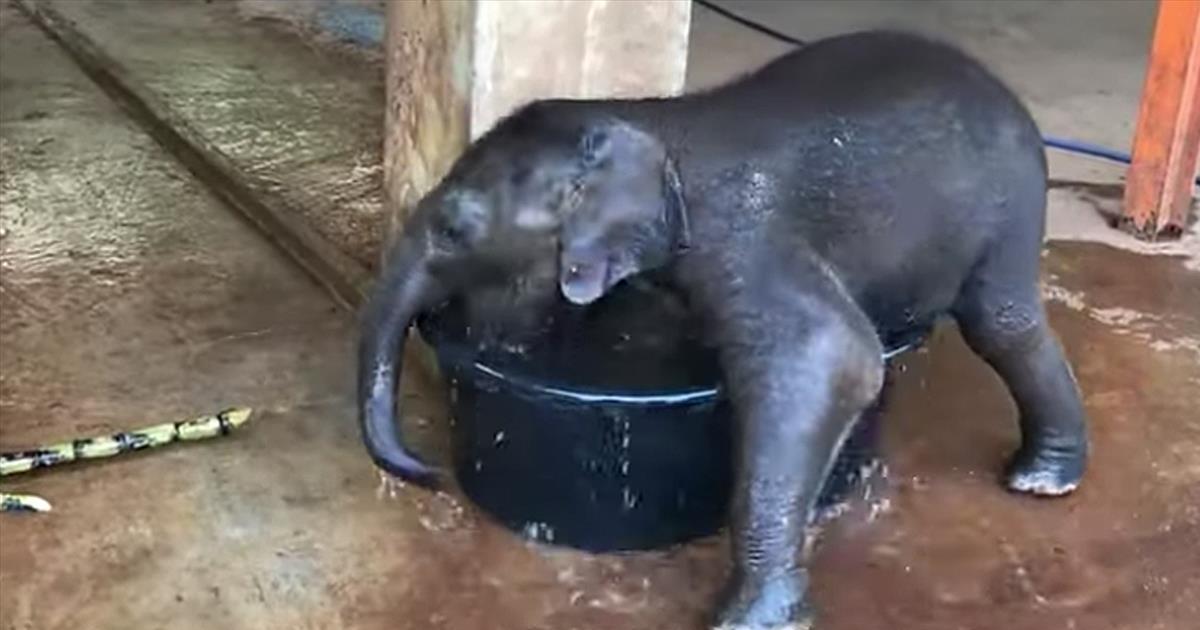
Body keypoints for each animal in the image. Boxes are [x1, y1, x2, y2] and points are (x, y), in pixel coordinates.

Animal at [357, 30, 1089, 630]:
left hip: (1011, 202)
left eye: (455, 229)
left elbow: (831, 356)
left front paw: (750, 621)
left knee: (1000, 322)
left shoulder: (738, 233)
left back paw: (1041, 481)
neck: (646, 121)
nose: (428, 473)